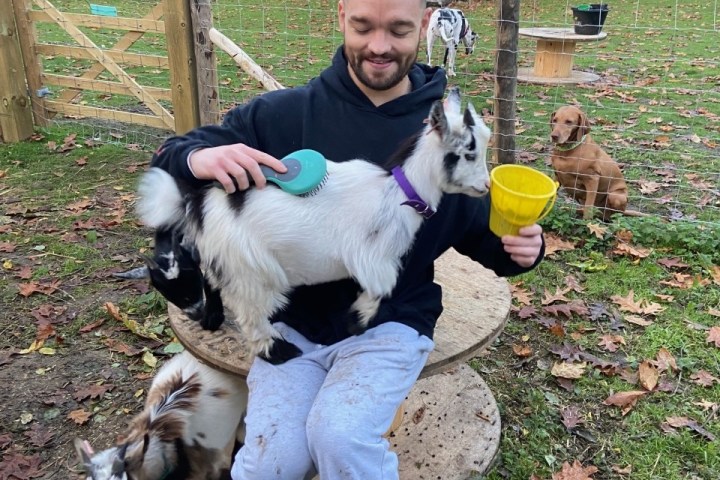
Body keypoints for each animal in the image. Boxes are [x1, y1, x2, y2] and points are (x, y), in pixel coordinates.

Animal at [136, 88, 491, 365]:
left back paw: (214, 318)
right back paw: (278, 351)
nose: (487, 186)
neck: (397, 193)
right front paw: (356, 322)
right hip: (249, 269)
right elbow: (381, 287)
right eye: (468, 153)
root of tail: (199, 204)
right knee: (251, 315)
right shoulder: (372, 257)